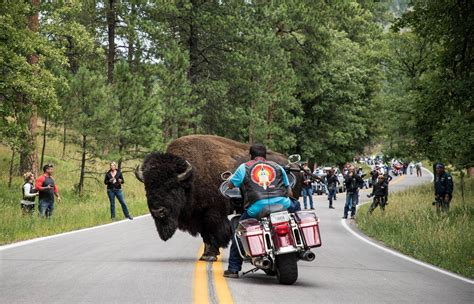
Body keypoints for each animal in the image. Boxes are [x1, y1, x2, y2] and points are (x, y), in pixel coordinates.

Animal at [135, 135, 302, 262]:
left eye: (172, 186)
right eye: (147, 187)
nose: (158, 211)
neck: (192, 177)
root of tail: (291, 164)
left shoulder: (213, 214)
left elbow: (214, 233)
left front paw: (210, 255)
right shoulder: (199, 216)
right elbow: (205, 235)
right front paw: (206, 254)